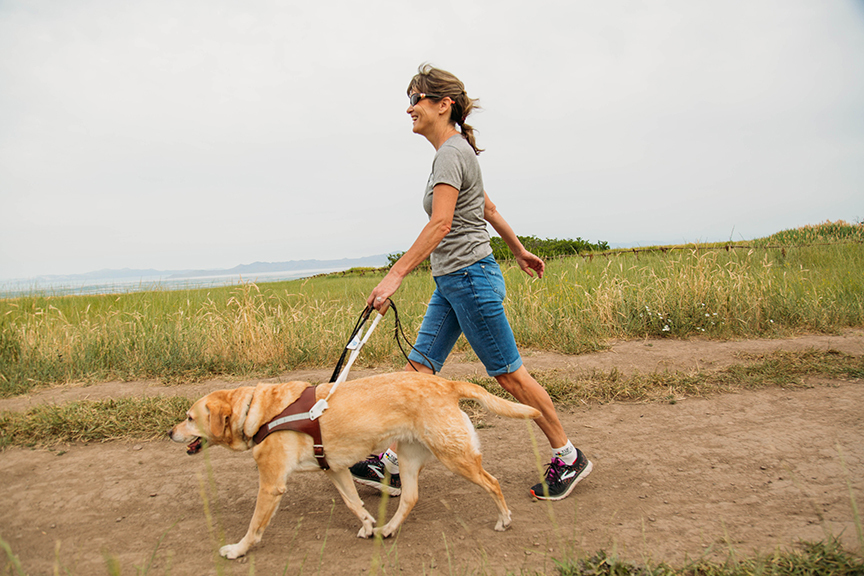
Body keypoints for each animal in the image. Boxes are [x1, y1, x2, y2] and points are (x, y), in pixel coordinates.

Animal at [169, 374, 540, 560]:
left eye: (189, 417)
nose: (170, 433)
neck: (256, 411)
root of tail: (448, 384)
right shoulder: (334, 469)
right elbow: (353, 502)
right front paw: (367, 525)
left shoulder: (271, 484)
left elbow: (254, 526)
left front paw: (237, 549)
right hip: (409, 458)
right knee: (410, 497)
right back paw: (388, 529)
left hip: (456, 456)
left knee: (492, 482)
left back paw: (504, 519)